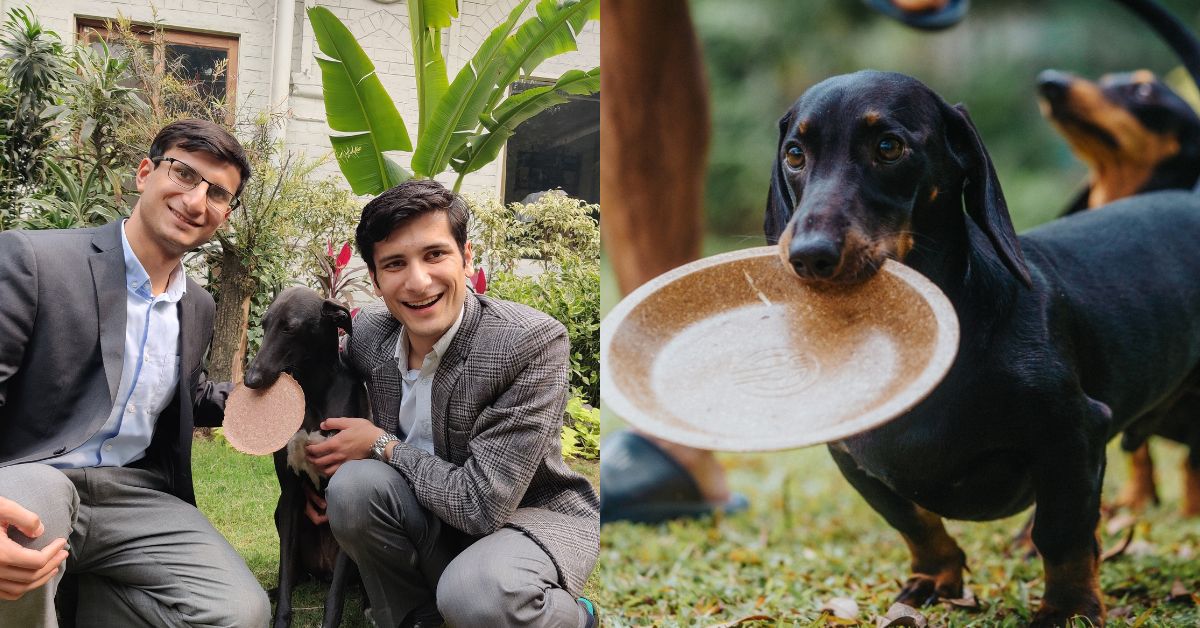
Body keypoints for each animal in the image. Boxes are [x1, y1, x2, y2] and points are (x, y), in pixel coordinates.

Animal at [243, 286, 364, 624]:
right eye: (265, 324)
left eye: (290, 328)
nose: (250, 380)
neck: (313, 390)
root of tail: (321, 571)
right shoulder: (290, 495)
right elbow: (285, 578)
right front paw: (280, 619)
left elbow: (335, 597)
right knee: (293, 575)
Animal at [763, 71, 1200, 624]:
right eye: (795, 154)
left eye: (889, 147)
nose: (809, 257)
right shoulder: (853, 460)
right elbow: (916, 524)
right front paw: (936, 579)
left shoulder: (1074, 432)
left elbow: (1062, 535)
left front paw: (1068, 608)